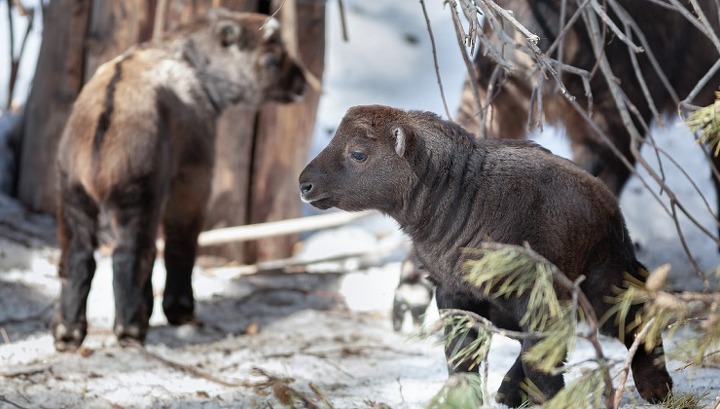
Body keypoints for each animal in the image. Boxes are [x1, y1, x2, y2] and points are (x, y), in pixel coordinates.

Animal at [53, 7, 306, 350]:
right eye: (270, 58)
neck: (196, 69)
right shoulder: (192, 178)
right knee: (129, 256)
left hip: (73, 196)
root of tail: (102, 122)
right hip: (136, 196)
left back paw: (68, 332)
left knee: (79, 257)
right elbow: (181, 242)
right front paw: (178, 310)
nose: (302, 82)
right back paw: (130, 329)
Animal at [298, 104, 668, 404]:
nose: (304, 184)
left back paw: (657, 388)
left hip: (603, 284)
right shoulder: (454, 294)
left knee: (636, 315)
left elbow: (542, 363)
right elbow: (461, 358)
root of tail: (607, 206)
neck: (459, 195)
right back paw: (508, 391)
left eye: (358, 154)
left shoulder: (535, 299)